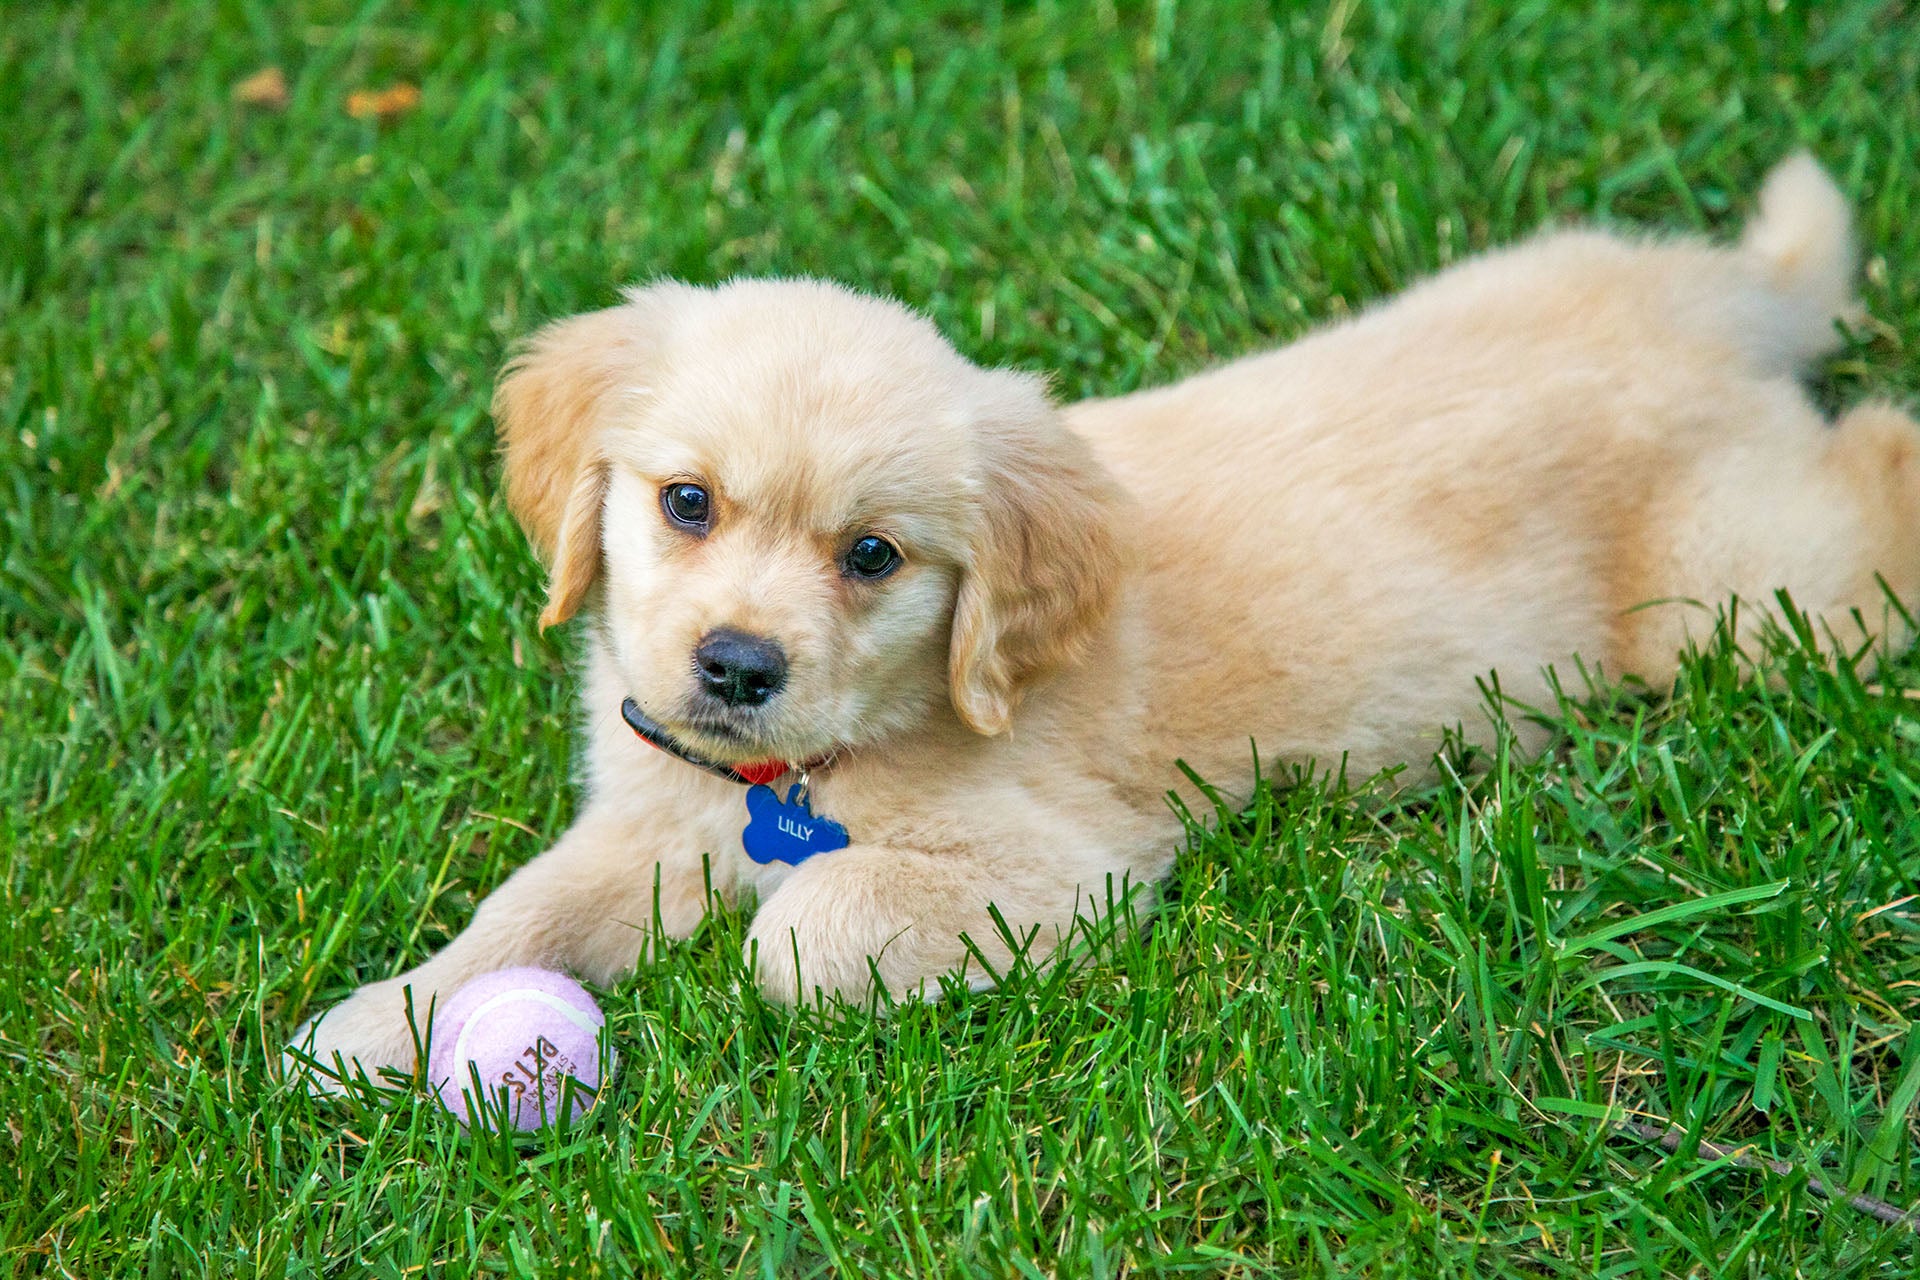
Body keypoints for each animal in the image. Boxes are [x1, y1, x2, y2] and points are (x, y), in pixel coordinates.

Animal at [284, 155, 1920, 1090]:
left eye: (872, 555)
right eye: (686, 503)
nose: (734, 668)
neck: (807, 768)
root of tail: (1711, 301)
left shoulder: (1069, 861)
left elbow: (803, 933)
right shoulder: (645, 822)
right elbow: (520, 914)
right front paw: (380, 1024)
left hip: (1745, 593)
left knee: (1875, 467)